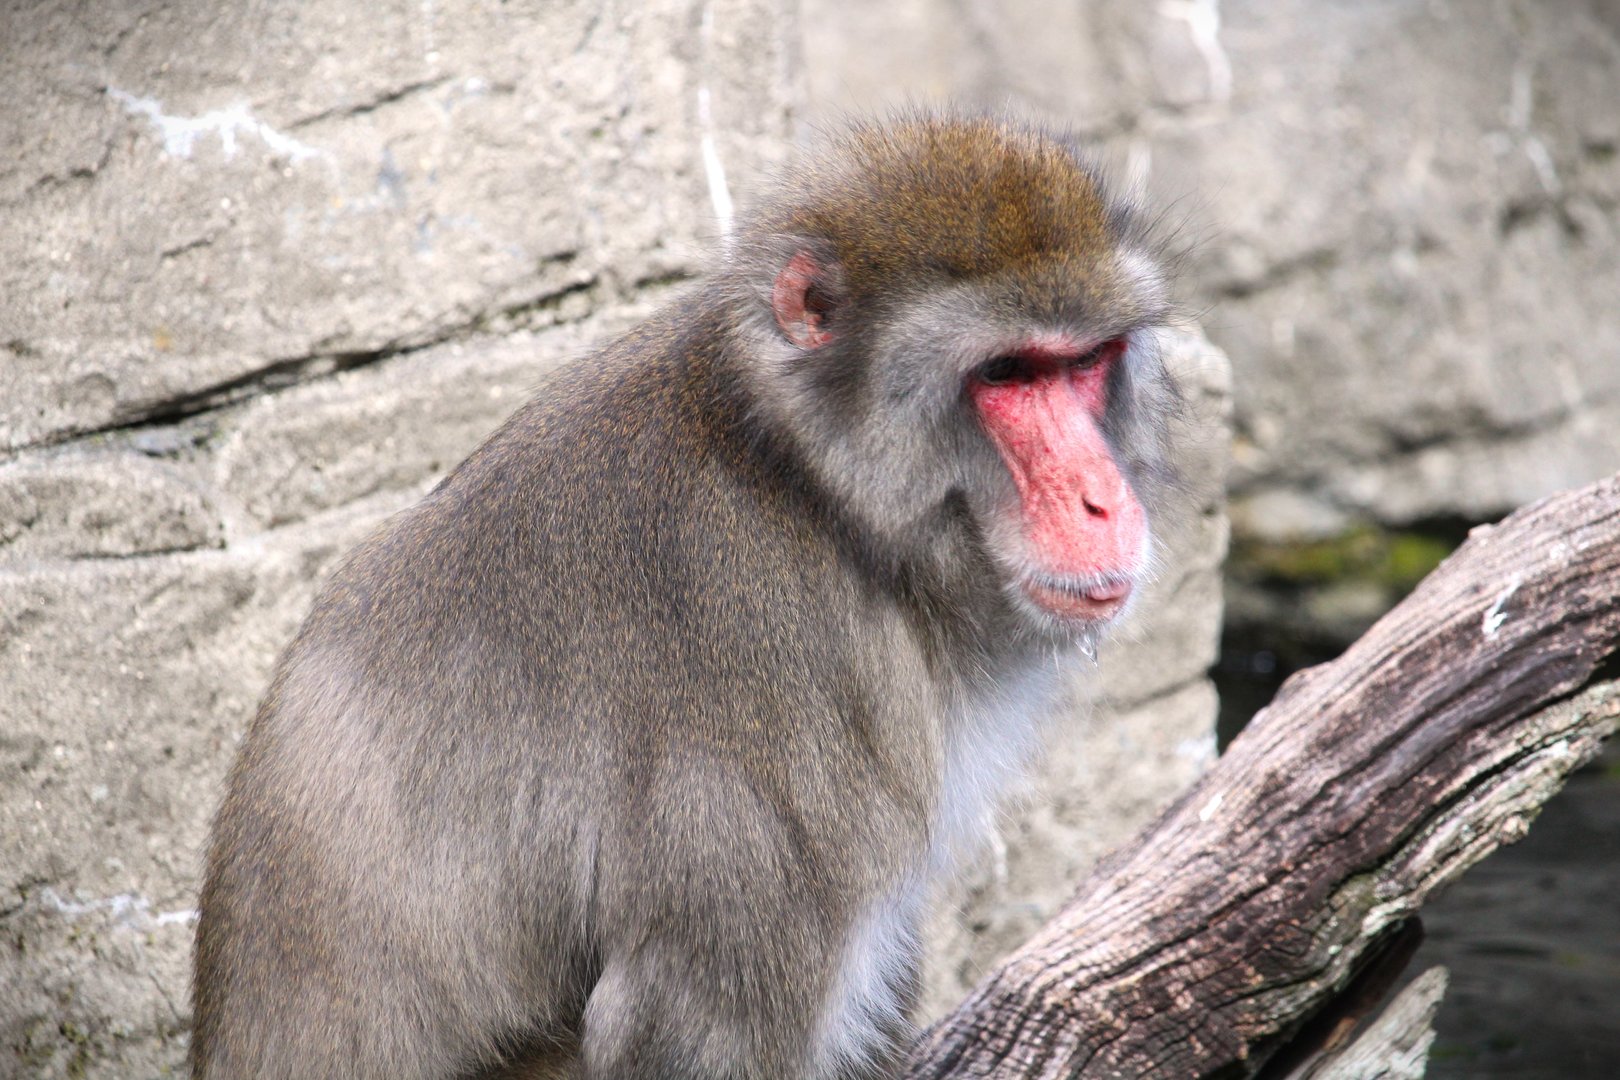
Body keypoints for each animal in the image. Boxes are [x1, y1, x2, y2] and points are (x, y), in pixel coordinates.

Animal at [190, 113, 1178, 1080]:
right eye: (1007, 373)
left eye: (1085, 362)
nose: (1102, 498)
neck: (805, 486)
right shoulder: (778, 672)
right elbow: (692, 1027)